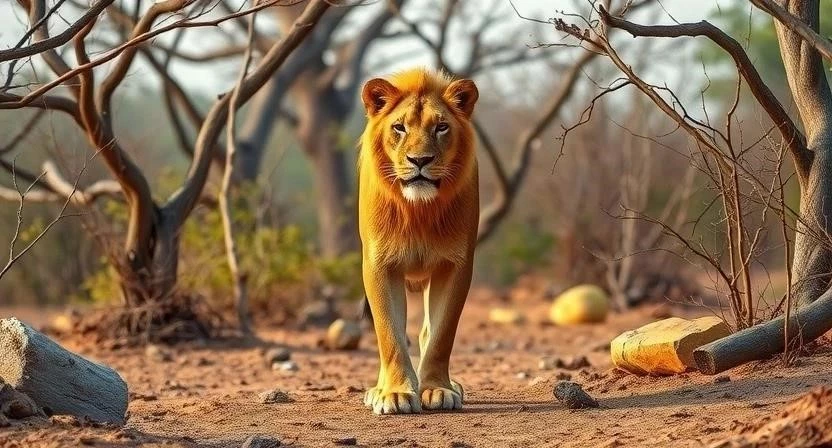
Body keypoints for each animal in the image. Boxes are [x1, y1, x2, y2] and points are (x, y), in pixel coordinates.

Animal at [357, 68, 479, 415]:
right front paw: (396, 394)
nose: (420, 160)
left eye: (441, 127)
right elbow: (390, 334)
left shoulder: (455, 265)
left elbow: (440, 336)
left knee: (426, 332)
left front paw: (437, 389)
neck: (419, 210)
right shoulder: (379, 265)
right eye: (399, 127)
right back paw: (377, 390)